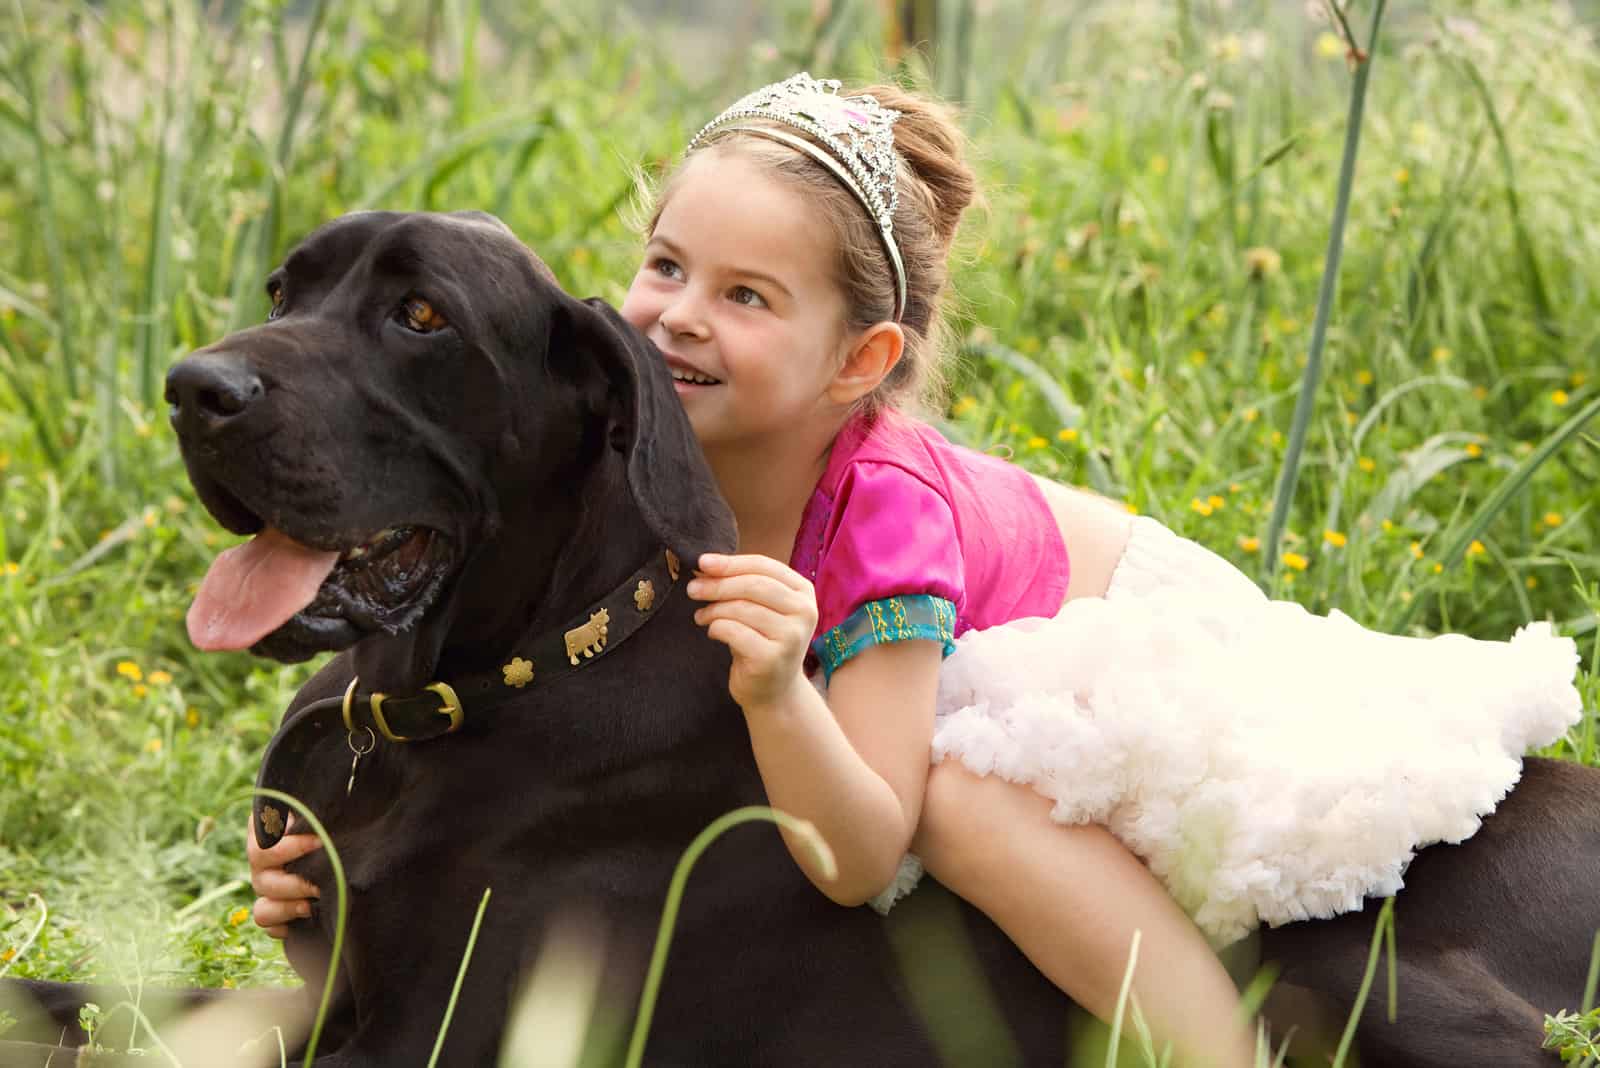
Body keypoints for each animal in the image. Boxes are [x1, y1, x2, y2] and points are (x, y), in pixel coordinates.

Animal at [6, 211, 1593, 1068]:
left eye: (418, 316)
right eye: (288, 288)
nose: (192, 388)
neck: (475, 691)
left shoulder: (459, 1033)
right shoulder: (316, 990)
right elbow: (67, 996)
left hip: (1347, 972)